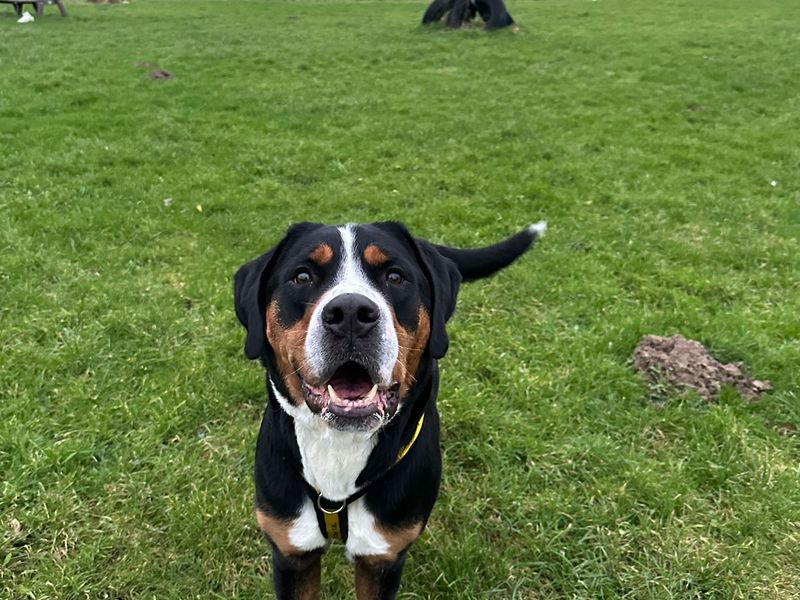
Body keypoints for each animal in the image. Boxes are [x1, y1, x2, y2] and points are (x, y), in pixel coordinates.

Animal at [233, 220, 545, 599]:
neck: (338, 448)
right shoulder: (292, 551)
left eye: (395, 277)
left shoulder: (382, 557)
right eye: (303, 276)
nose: (350, 314)